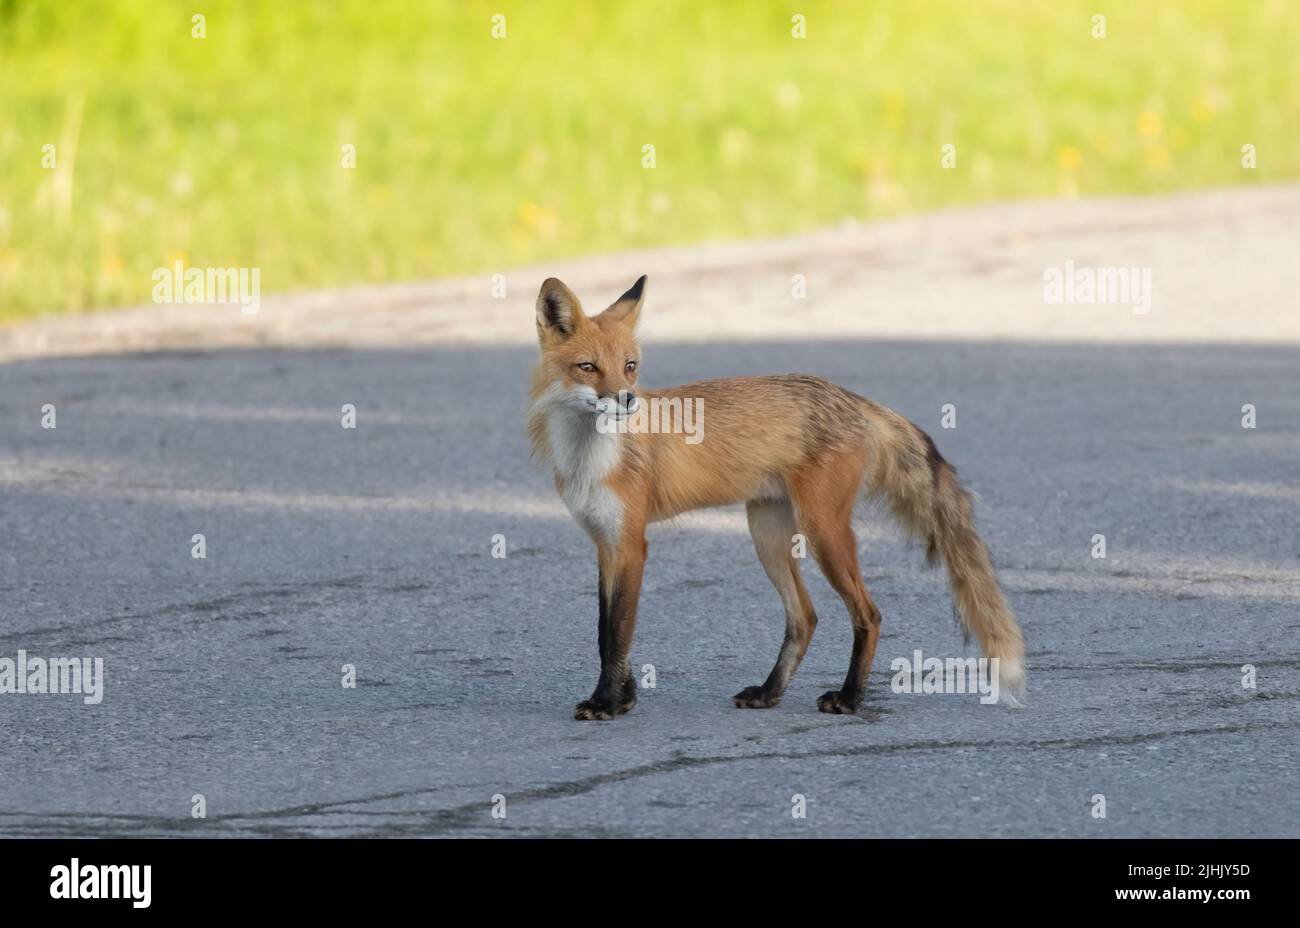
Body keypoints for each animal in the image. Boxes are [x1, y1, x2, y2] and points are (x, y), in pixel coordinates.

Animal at [527, 278, 1024, 717]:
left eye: (630, 366)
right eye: (588, 367)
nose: (627, 400)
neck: (590, 457)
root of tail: (850, 397)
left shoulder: (631, 543)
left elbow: (618, 631)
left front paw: (607, 704)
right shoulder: (606, 544)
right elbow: (604, 630)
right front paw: (625, 696)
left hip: (822, 532)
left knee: (869, 614)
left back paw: (849, 699)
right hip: (767, 534)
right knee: (804, 618)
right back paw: (769, 692)